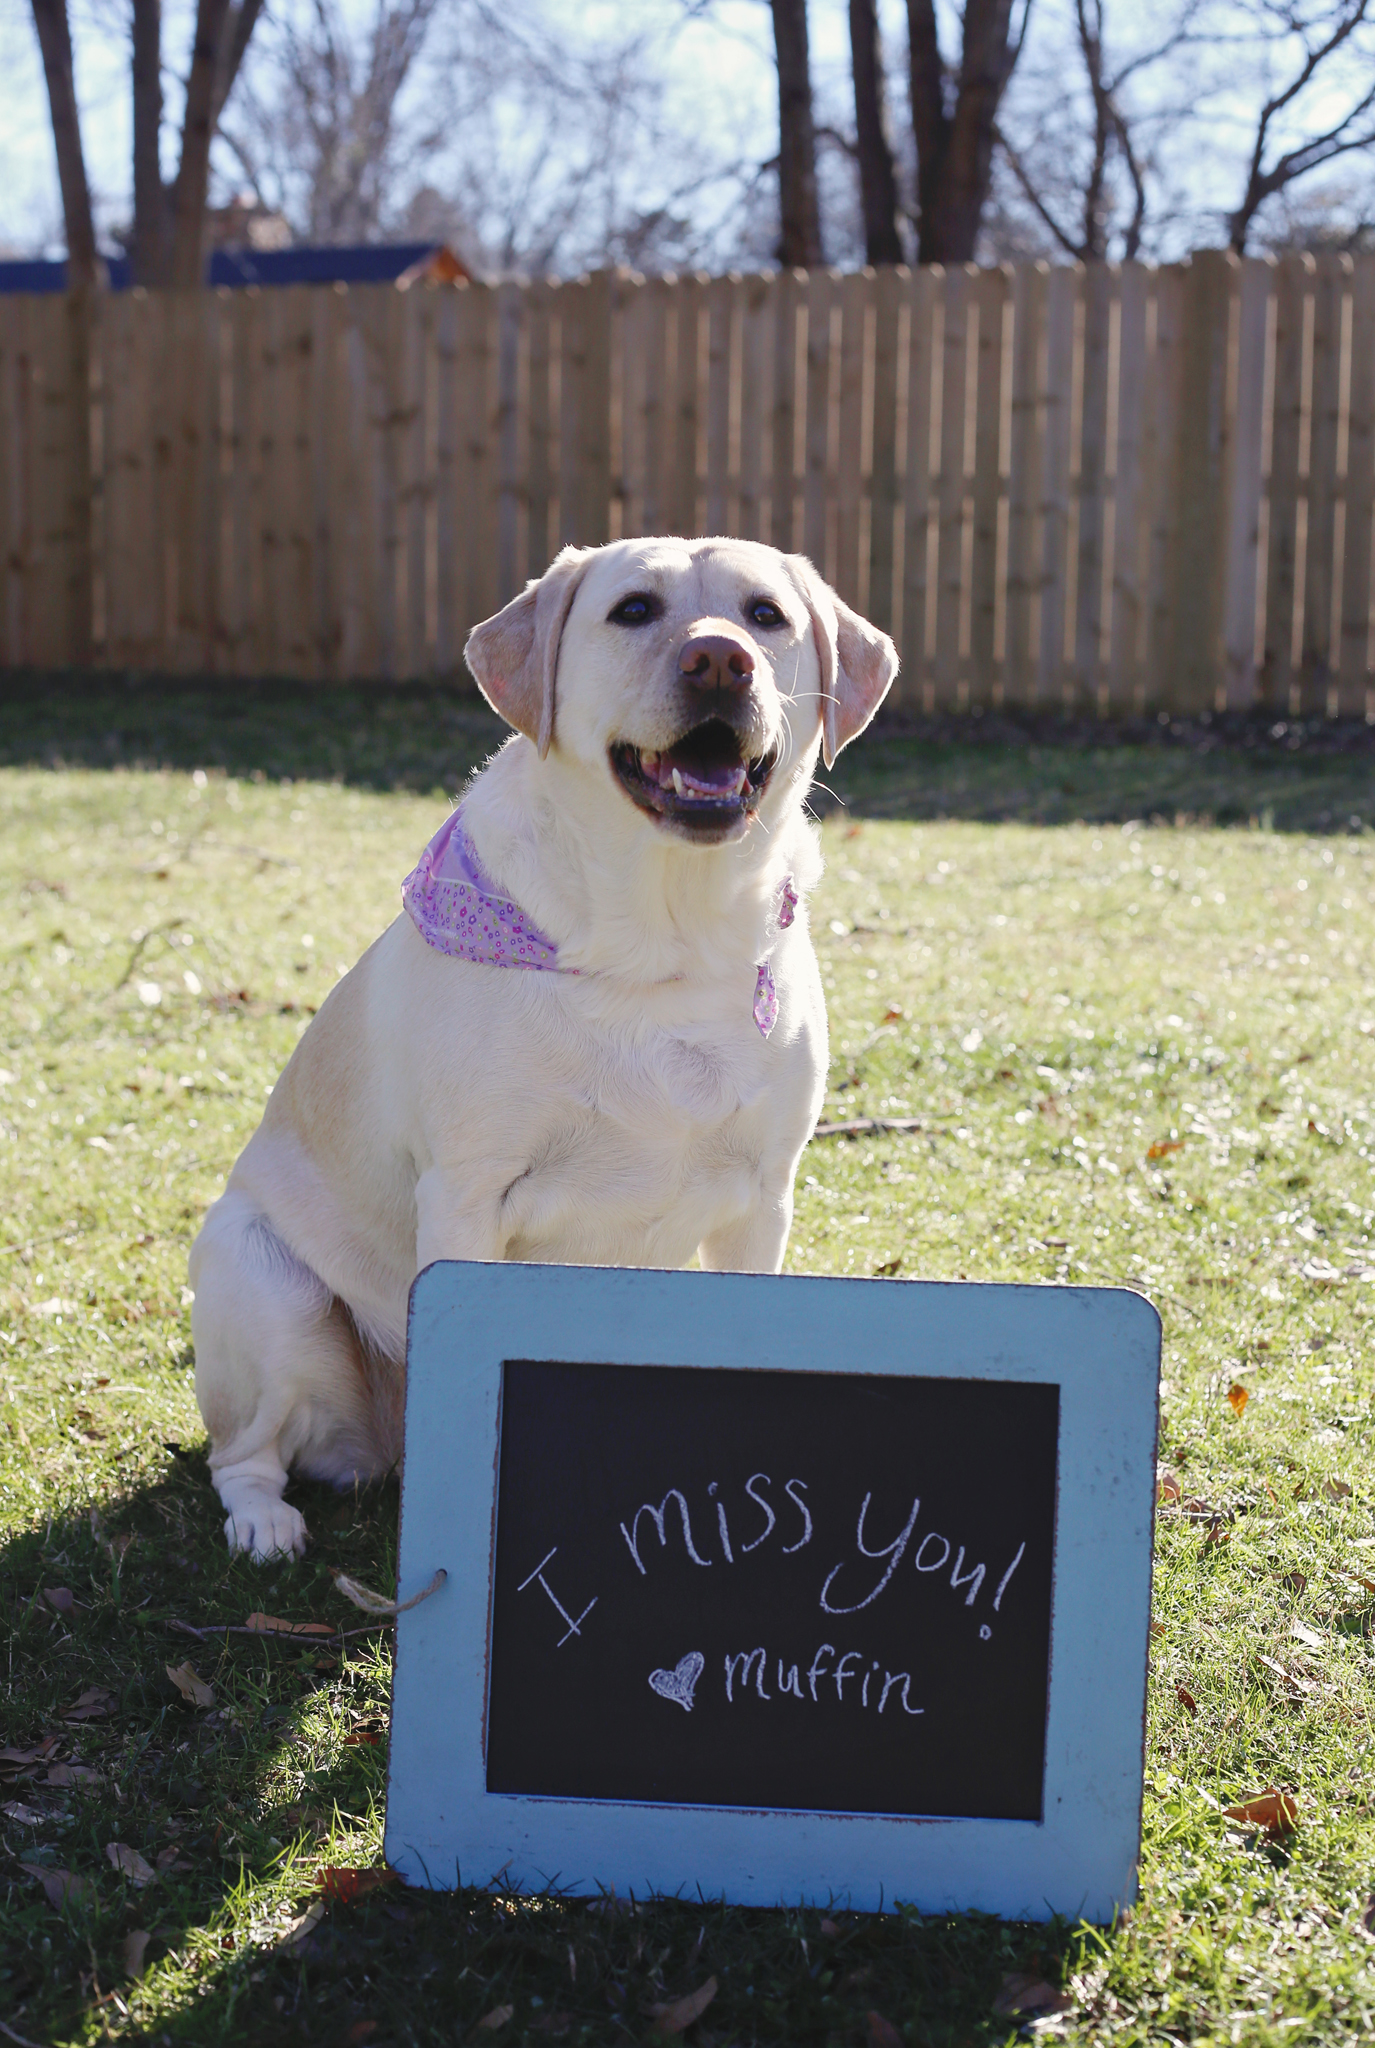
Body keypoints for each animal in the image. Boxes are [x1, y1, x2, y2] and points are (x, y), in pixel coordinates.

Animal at [189, 536, 897, 1559]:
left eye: (765, 615)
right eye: (634, 610)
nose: (718, 659)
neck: (663, 944)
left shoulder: (762, 1198)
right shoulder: (467, 1196)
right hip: (262, 1279)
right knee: (240, 1454)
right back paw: (265, 1522)